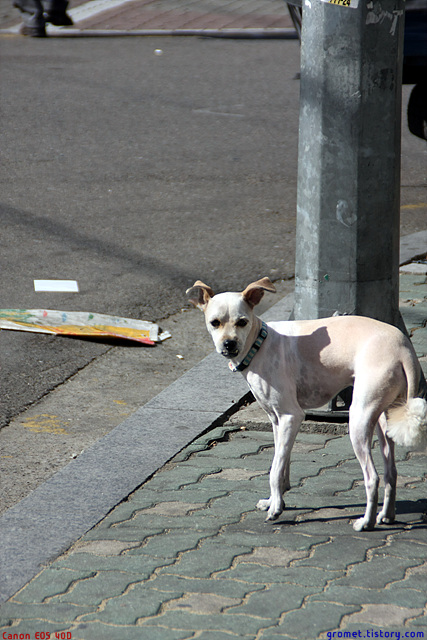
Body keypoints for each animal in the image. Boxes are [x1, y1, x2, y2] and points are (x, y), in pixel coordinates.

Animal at [188, 276, 427, 528]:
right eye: (214, 323)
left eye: (242, 322)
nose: (229, 344)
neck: (260, 345)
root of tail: (403, 348)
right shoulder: (277, 421)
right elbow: (282, 463)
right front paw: (276, 500)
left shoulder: (291, 416)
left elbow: (274, 470)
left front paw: (275, 509)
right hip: (383, 421)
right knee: (391, 473)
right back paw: (386, 515)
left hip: (359, 419)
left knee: (373, 477)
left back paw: (366, 522)